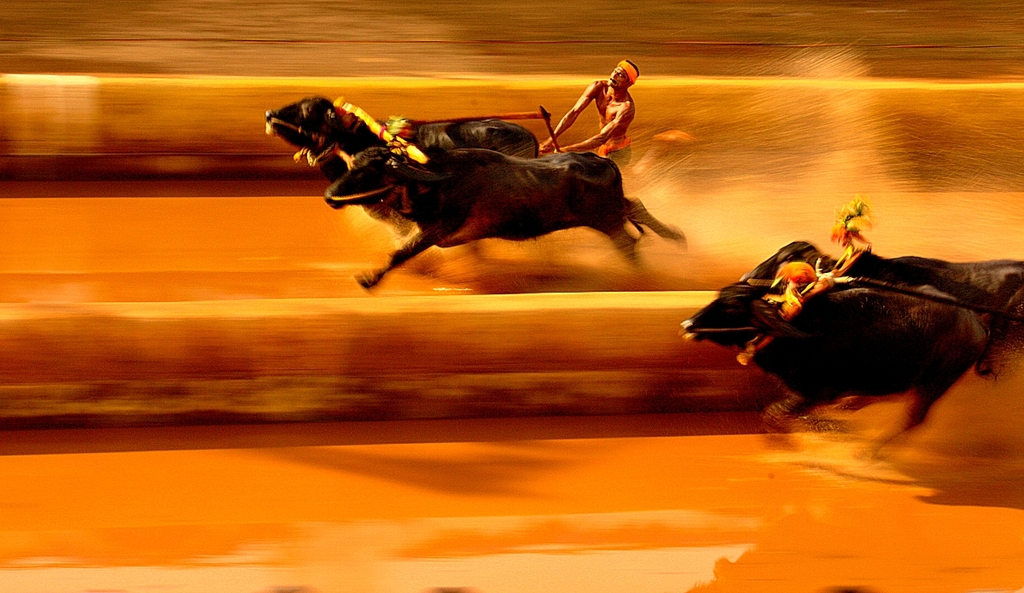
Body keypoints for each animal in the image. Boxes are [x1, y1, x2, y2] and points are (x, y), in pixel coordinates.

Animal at [323, 147, 684, 288]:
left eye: (371, 171)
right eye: (352, 164)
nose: (329, 196)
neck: (432, 184)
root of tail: (603, 161)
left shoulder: (435, 231)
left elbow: (399, 252)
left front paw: (368, 279)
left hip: (606, 220)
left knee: (627, 241)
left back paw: (641, 276)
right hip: (614, 209)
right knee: (636, 205)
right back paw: (676, 236)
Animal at [679, 280, 991, 442]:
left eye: (731, 306)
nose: (688, 324)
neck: (798, 327)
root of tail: (976, 321)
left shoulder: (814, 392)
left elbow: (775, 414)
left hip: (935, 382)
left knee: (913, 419)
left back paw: (869, 452)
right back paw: (851, 410)